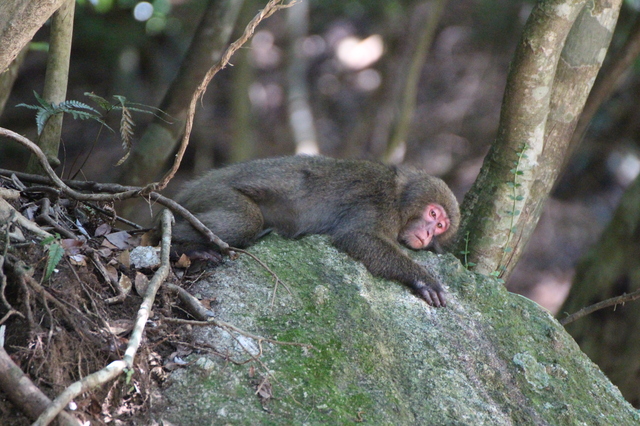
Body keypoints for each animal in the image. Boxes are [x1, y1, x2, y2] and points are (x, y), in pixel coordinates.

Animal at [171, 155, 460, 308]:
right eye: (433, 214)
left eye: (440, 227)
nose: (428, 234)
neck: (400, 198)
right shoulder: (382, 204)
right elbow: (357, 237)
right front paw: (423, 279)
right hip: (214, 194)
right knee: (245, 221)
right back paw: (181, 247)